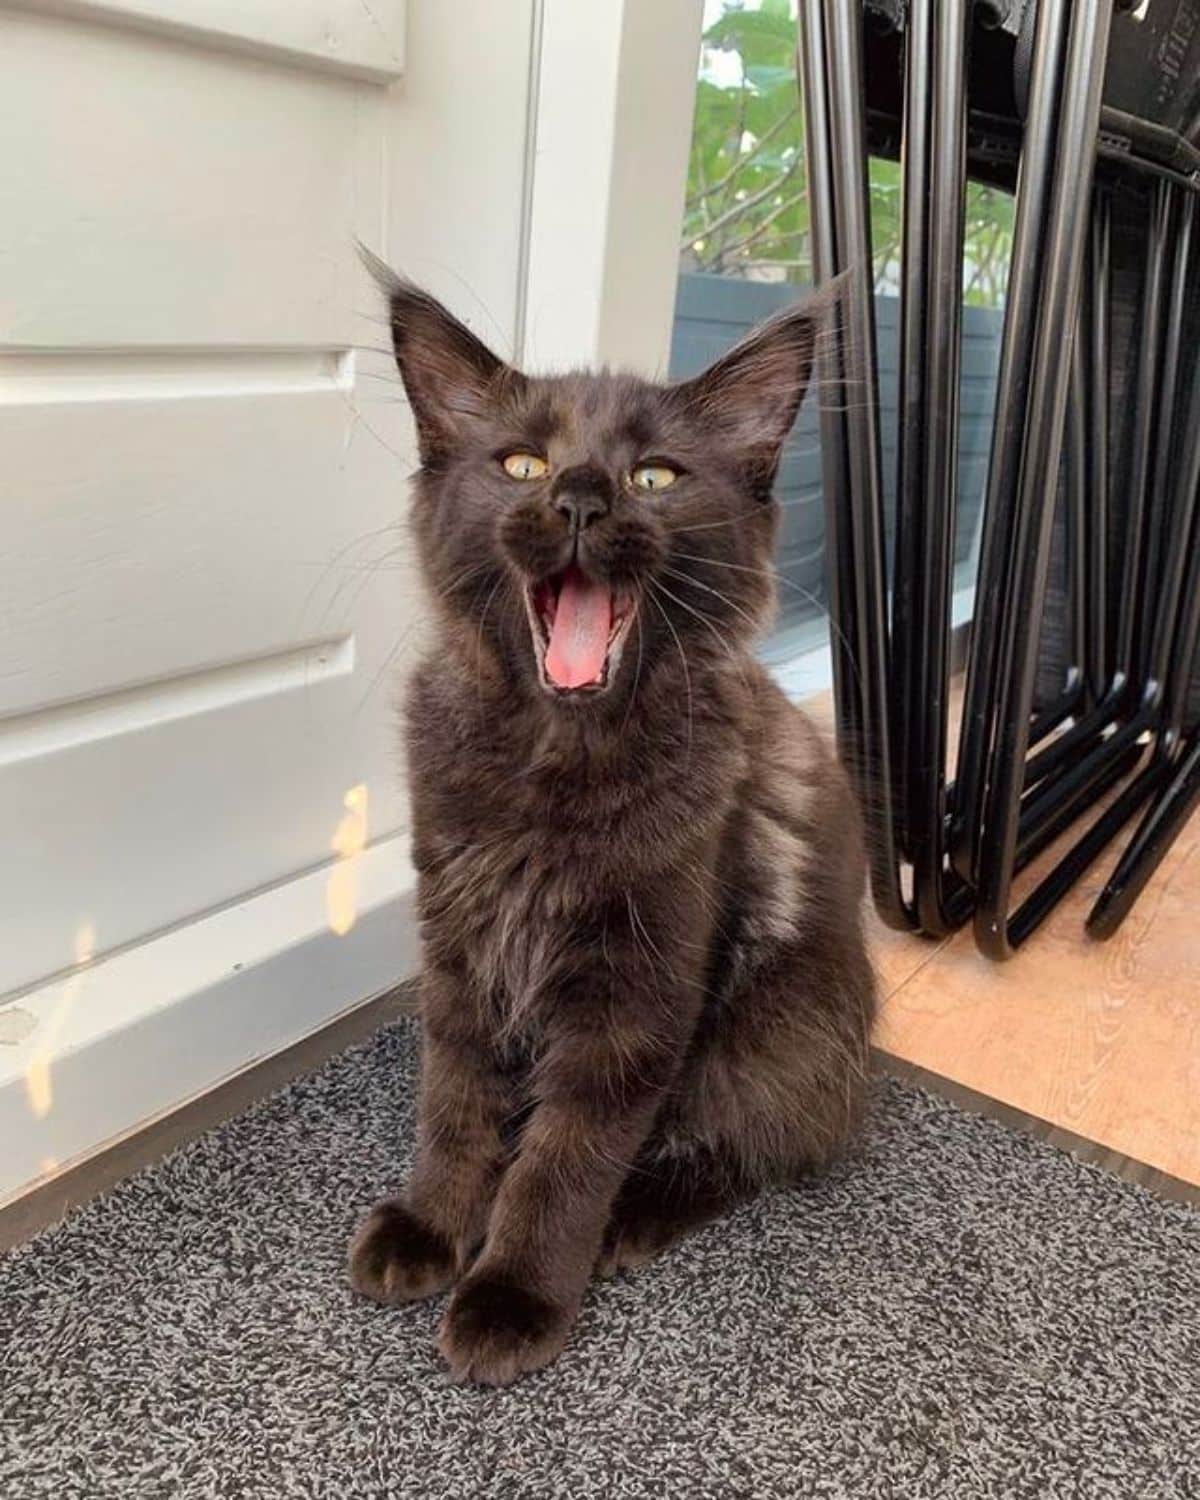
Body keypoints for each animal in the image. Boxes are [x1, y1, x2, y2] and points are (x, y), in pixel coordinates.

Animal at [346, 255, 870, 1380]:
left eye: (654, 478)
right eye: (522, 462)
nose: (581, 499)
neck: (554, 764)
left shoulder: (636, 993)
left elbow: (566, 1157)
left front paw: (512, 1293)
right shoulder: (460, 942)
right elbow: (453, 1100)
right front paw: (433, 1223)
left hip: (779, 1027)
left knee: (758, 1144)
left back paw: (638, 1212)